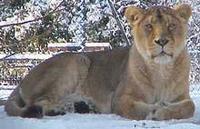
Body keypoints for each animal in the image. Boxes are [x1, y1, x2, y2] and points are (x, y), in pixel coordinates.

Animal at [5, 4, 195, 121]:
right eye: (148, 26)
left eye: (171, 26)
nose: (162, 41)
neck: (161, 70)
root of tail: (23, 79)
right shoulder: (120, 98)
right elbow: (136, 108)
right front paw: (155, 110)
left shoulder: (182, 97)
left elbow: (189, 107)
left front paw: (163, 109)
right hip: (78, 60)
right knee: (36, 102)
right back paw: (59, 109)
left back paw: (82, 106)